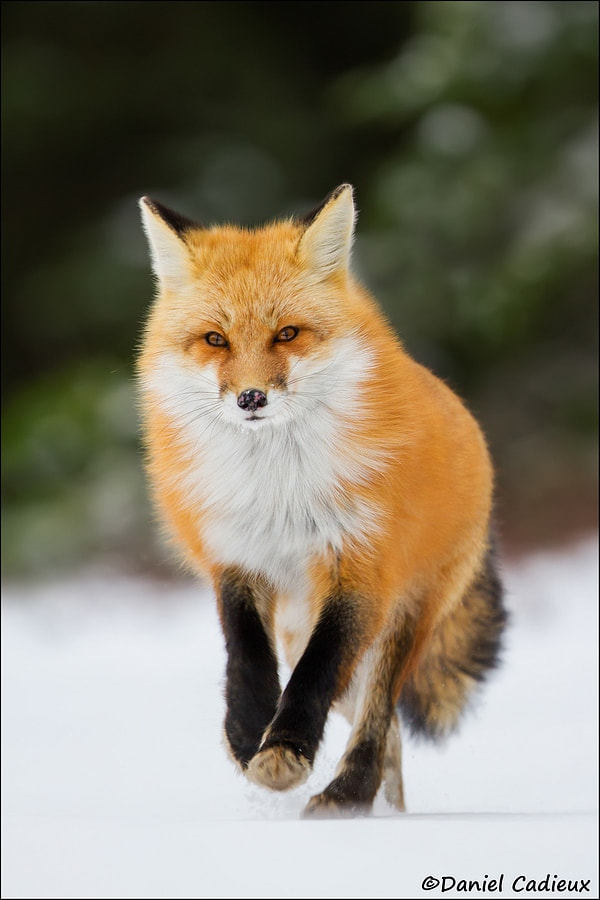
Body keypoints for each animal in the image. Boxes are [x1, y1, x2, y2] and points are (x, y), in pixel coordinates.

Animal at [137, 184, 507, 817]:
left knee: (379, 718)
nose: (250, 398)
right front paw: (247, 734)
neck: (277, 493)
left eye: (287, 334)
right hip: (299, 622)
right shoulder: (236, 559)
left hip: (403, 615)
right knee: (384, 731)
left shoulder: (360, 567)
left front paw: (284, 752)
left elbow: (315, 673)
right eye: (215, 340)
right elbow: (246, 659)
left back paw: (349, 795)